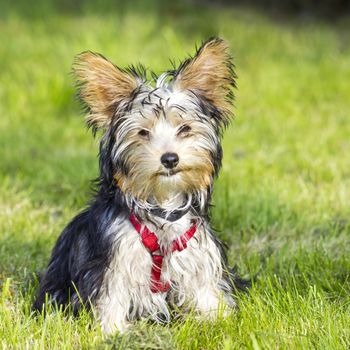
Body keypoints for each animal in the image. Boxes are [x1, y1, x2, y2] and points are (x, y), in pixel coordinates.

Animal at [34, 37, 243, 334]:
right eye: (143, 132)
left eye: (185, 129)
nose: (170, 158)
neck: (162, 204)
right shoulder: (113, 259)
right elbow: (111, 294)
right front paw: (112, 331)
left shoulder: (197, 254)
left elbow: (205, 288)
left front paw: (218, 318)